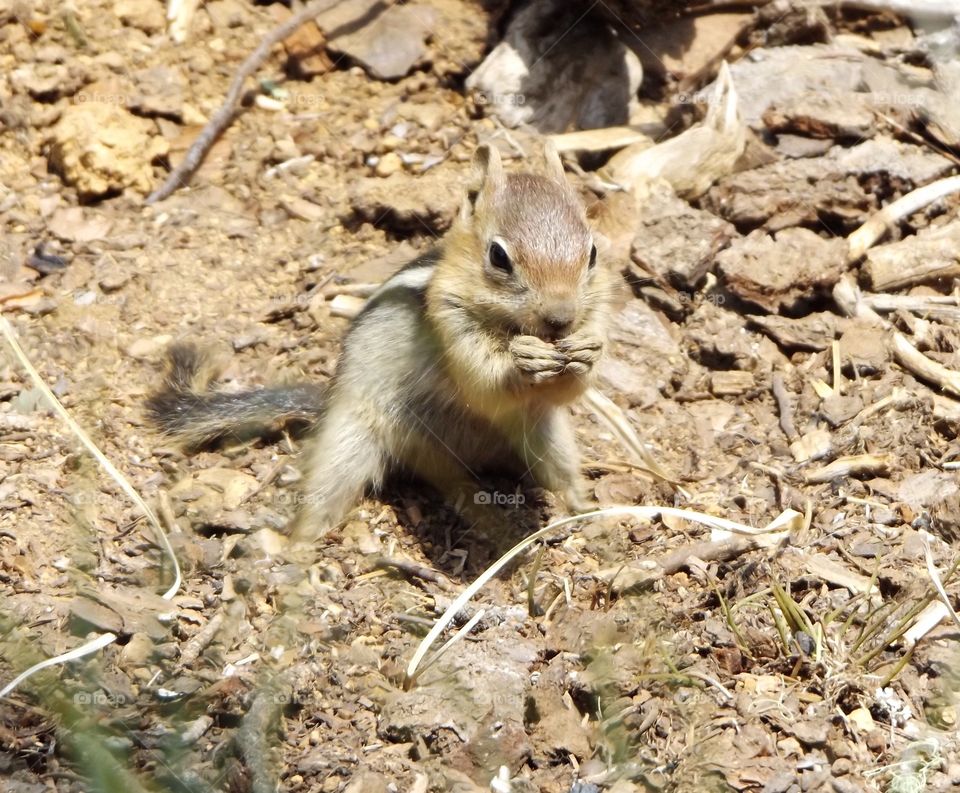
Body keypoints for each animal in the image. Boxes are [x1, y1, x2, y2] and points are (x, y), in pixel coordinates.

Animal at [147, 143, 617, 542]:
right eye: (499, 256)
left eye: (593, 253)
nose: (561, 318)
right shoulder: (448, 321)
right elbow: (483, 383)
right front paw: (523, 360)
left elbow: (568, 389)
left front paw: (586, 354)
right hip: (351, 443)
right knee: (342, 493)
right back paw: (295, 544)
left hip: (549, 437)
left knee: (554, 475)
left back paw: (587, 509)